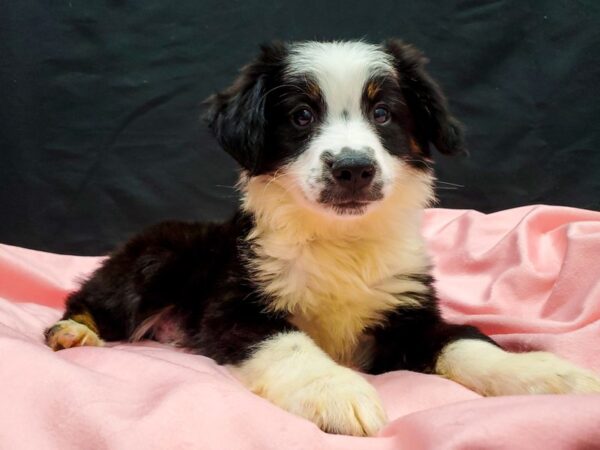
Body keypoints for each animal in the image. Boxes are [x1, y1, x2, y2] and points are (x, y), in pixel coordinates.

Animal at [45, 39, 600, 436]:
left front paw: (546, 376)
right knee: (90, 298)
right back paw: (75, 332)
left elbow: (466, 341)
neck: (341, 241)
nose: (353, 168)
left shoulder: (410, 308)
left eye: (383, 114)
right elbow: (290, 344)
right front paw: (335, 391)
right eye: (302, 116)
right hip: (155, 260)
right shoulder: (237, 306)